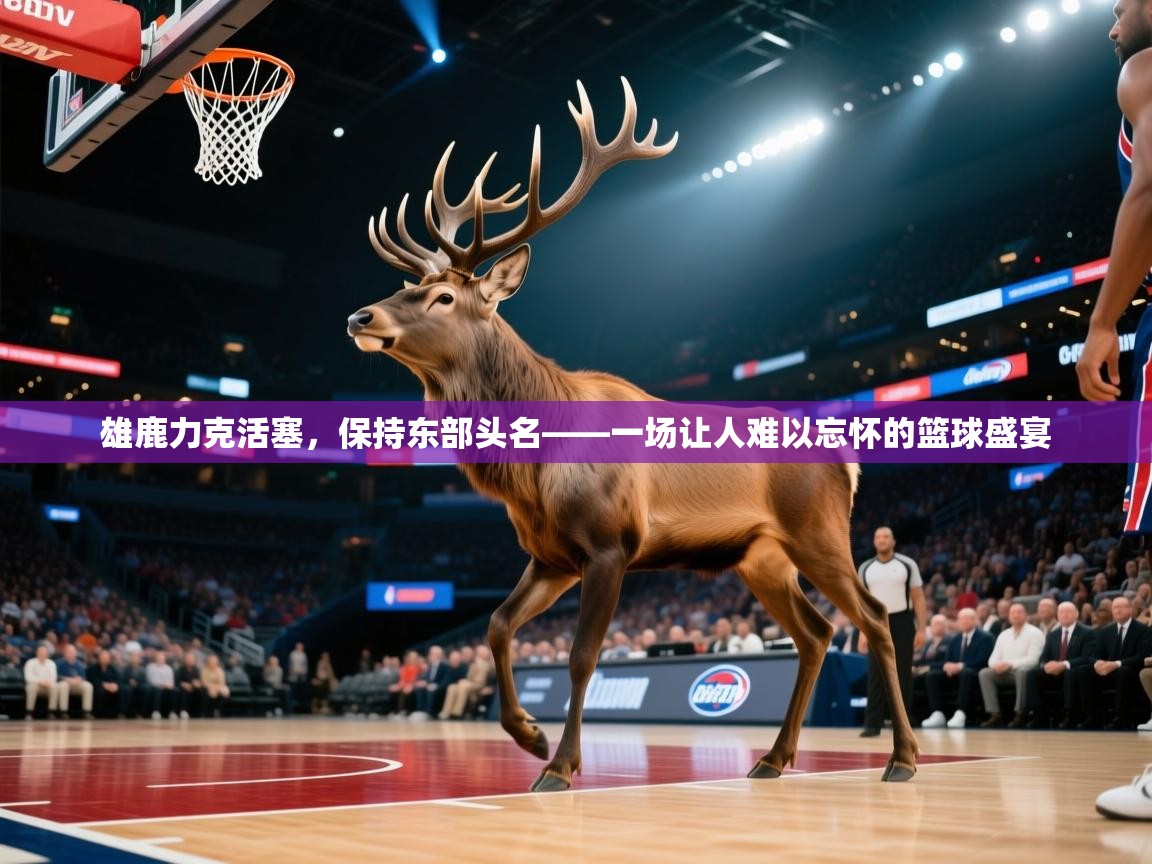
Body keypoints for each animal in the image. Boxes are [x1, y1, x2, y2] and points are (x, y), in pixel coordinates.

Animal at [347, 77, 920, 791]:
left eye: (444, 297)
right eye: (408, 285)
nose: (360, 316)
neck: (532, 474)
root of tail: (849, 462)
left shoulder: (609, 544)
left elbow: (582, 655)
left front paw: (559, 765)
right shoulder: (551, 556)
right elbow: (500, 626)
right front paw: (529, 735)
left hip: (818, 532)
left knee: (873, 619)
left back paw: (901, 758)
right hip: (760, 555)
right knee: (815, 633)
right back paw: (773, 758)